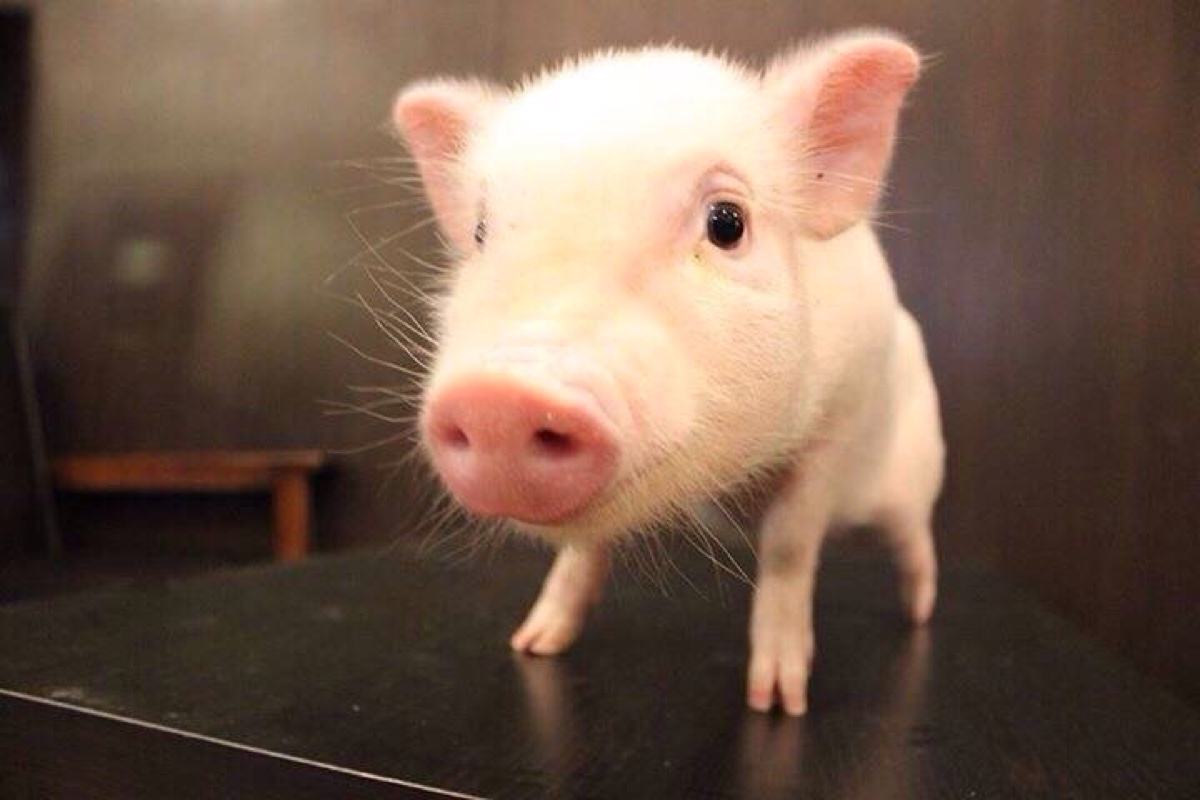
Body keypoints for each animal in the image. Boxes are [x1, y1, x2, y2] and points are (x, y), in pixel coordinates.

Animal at [391, 29, 943, 716]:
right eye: (480, 231)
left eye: (727, 223)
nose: (501, 398)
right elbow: (582, 550)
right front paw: (532, 645)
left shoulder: (837, 422)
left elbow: (790, 546)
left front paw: (776, 703)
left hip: (912, 475)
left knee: (915, 540)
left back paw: (920, 614)